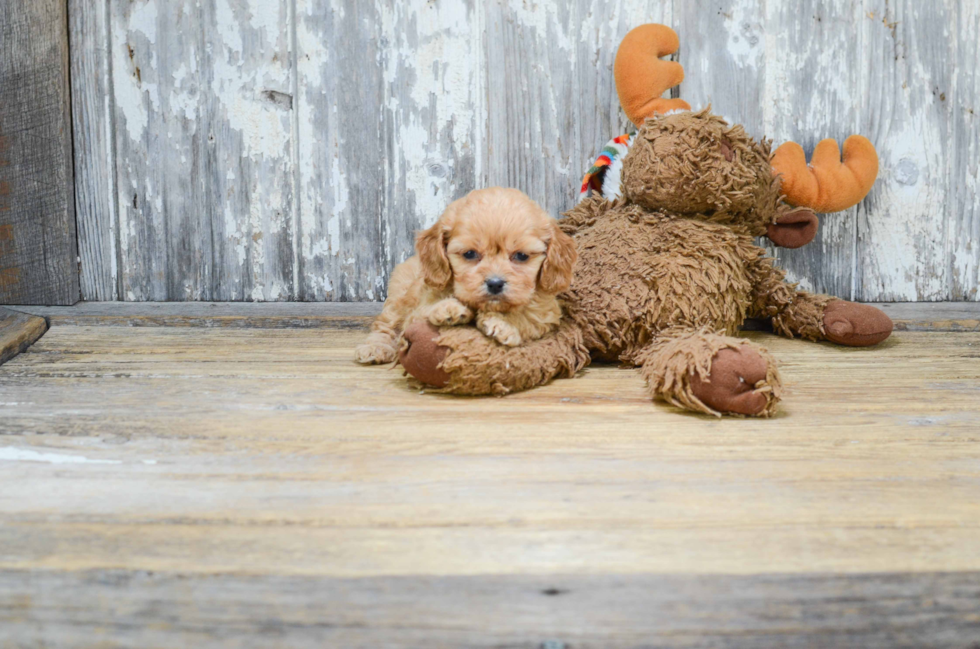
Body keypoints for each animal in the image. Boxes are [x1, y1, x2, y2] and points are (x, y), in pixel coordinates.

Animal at [356, 186, 580, 364]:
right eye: (470, 254)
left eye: (521, 256)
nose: (495, 283)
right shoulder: (418, 308)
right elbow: (425, 310)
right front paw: (449, 308)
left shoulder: (545, 313)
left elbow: (526, 316)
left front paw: (504, 324)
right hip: (398, 298)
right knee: (385, 326)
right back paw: (375, 348)